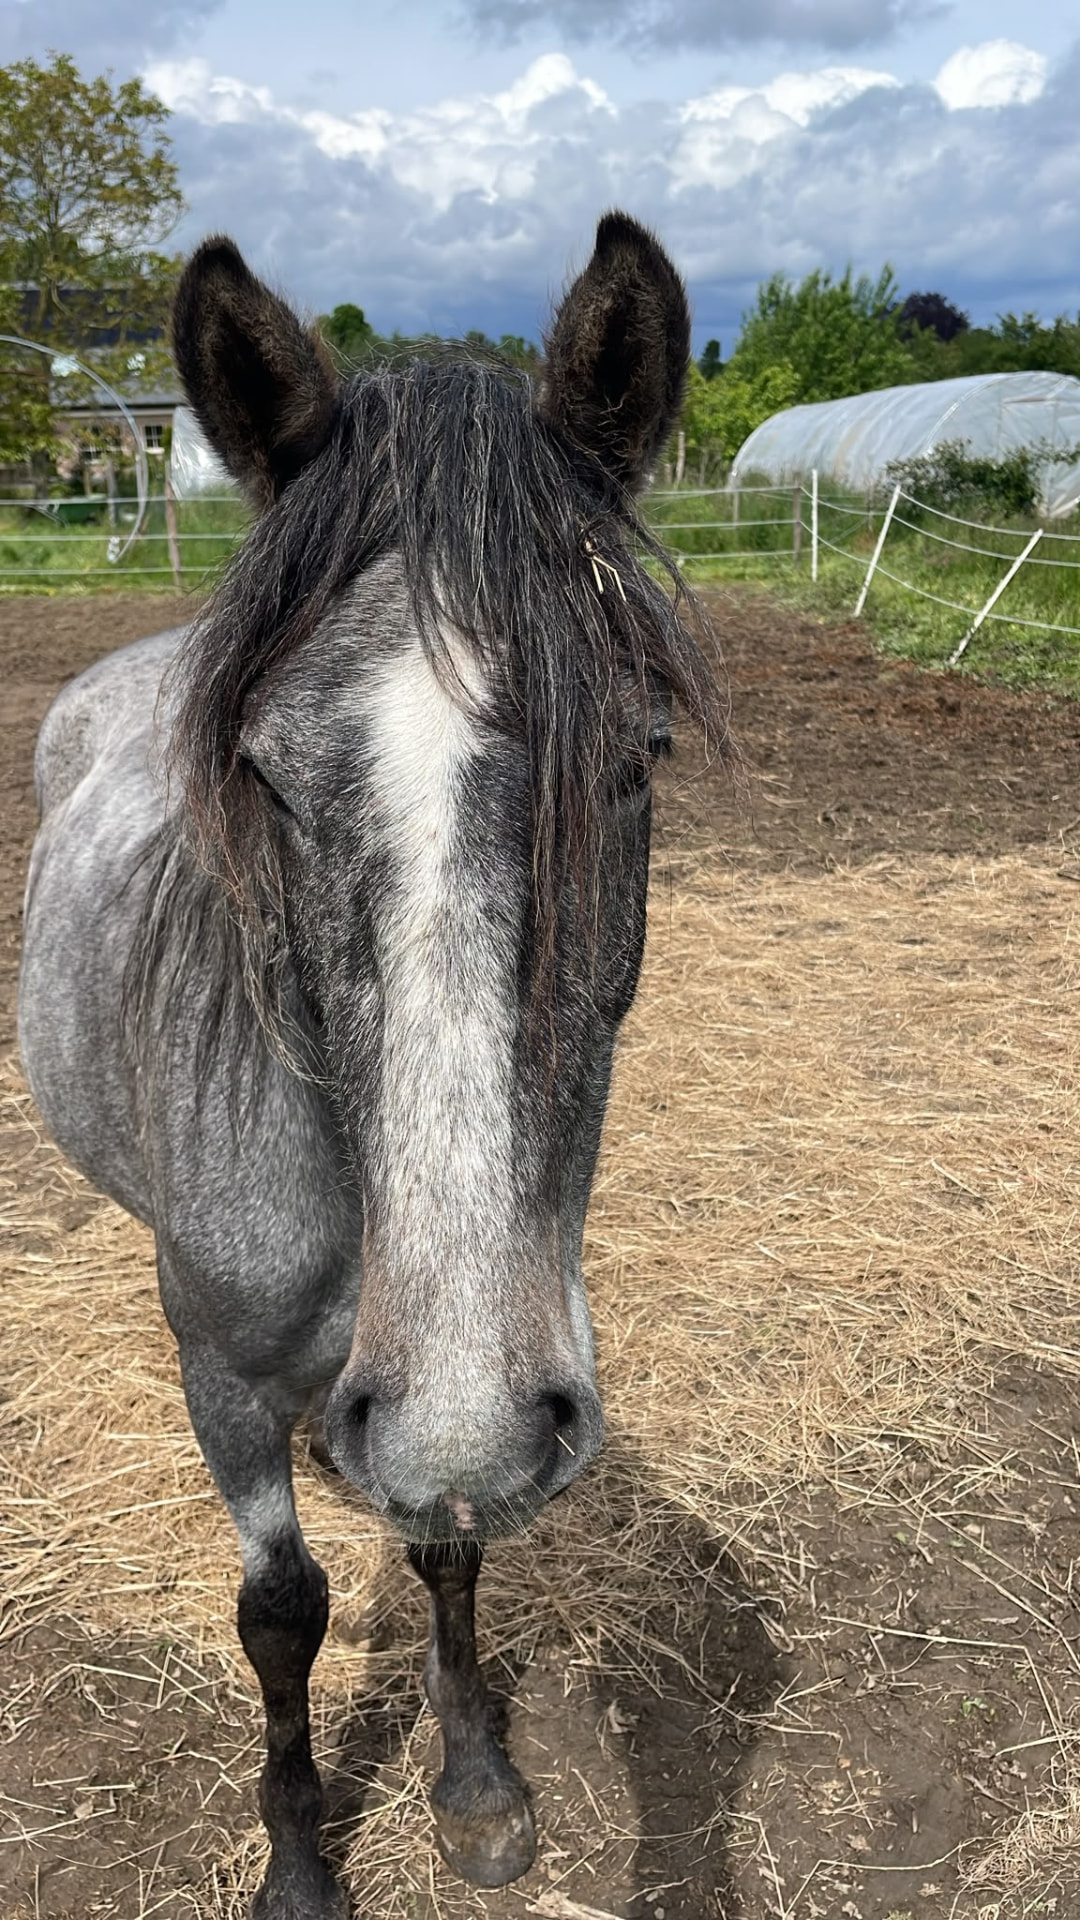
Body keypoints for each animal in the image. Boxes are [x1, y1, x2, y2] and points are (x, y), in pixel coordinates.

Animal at [18, 212, 724, 1918]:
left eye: (638, 757)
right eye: (265, 779)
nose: (459, 1409)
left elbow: (451, 1540)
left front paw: (474, 1790)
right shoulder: (228, 1379)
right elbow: (283, 1612)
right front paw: (295, 1863)